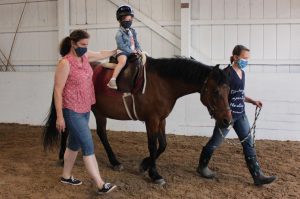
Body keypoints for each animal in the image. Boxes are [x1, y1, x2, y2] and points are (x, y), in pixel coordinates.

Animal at [43, 54, 232, 185]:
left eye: (229, 90)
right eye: (216, 92)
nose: (227, 121)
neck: (163, 83)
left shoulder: (161, 120)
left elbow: (162, 145)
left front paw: (145, 165)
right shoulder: (151, 120)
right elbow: (153, 146)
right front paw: (154, 174)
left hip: (98, 111)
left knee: (101, 133)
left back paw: (114, 162)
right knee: (67, 129)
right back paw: (63, 156)